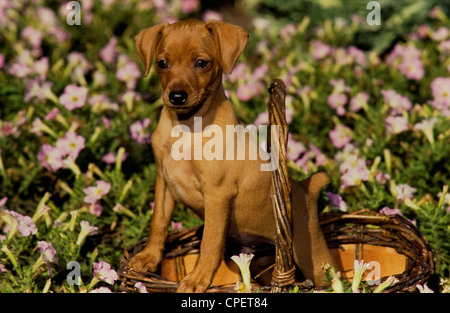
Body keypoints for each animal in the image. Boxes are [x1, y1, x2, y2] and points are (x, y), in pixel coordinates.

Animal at [126, 20, 334, 292]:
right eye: (162, 63)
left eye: (201, 63)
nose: (177, 97)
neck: (186, 127)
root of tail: (304, 189)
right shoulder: (164, 183)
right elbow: (158, 223)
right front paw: (149, 257)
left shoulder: (217, 195)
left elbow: (209, 242)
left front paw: (198, 279)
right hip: (261, 260)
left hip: (312, 255)